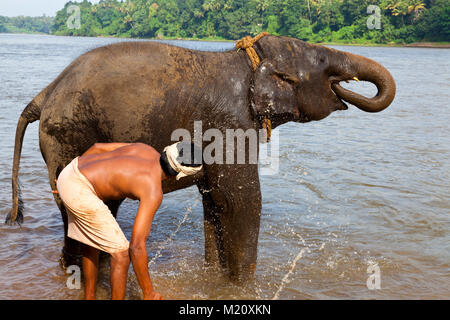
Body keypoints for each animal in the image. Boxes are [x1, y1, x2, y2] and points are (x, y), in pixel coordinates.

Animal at [6, 33, 394, 282]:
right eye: (324, 61)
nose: (347, 86)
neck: (245, 63)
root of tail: (44, 94)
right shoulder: (228, 124)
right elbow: (242, 200)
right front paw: (241, 287)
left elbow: (216, 201)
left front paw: (215, 277)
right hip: (67, 138)